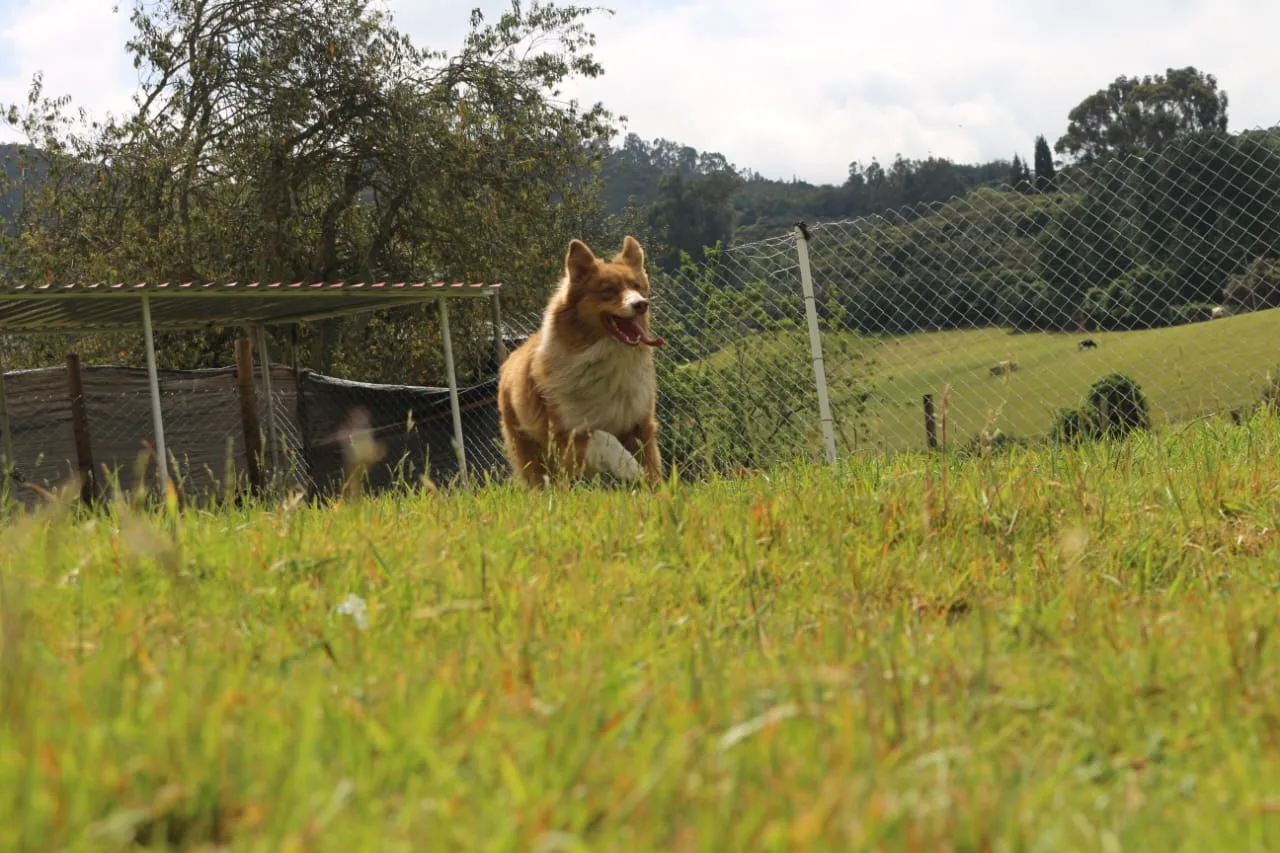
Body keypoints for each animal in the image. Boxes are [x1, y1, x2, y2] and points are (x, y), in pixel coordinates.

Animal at [494, 234, 665, 484]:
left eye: (636, 286)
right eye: (609, 290)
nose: (642, 304)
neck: (606, 356)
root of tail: (511, 357)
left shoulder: (640, 425)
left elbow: (652, 468)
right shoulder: (565, 437)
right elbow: (604, 437)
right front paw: (630, 469)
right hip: (530, 451)